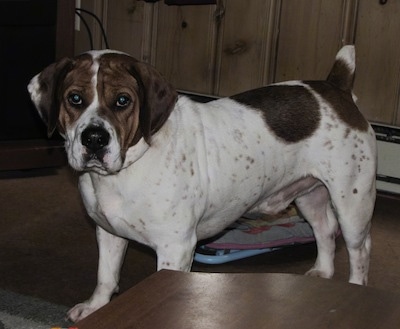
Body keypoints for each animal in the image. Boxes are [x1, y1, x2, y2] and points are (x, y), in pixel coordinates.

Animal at [27, 46, 376, 320]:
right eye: (75, 98)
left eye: (122, 101)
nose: (94, 139)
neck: (126, 171)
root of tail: (335, 88)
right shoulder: (109, 232)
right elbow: (106, 276)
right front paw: (96, 307)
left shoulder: (175, 248)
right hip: (308, 197)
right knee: (325, 230)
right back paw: (322, 273)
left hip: (352, 204)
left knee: (359, 250)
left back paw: (357, 288)